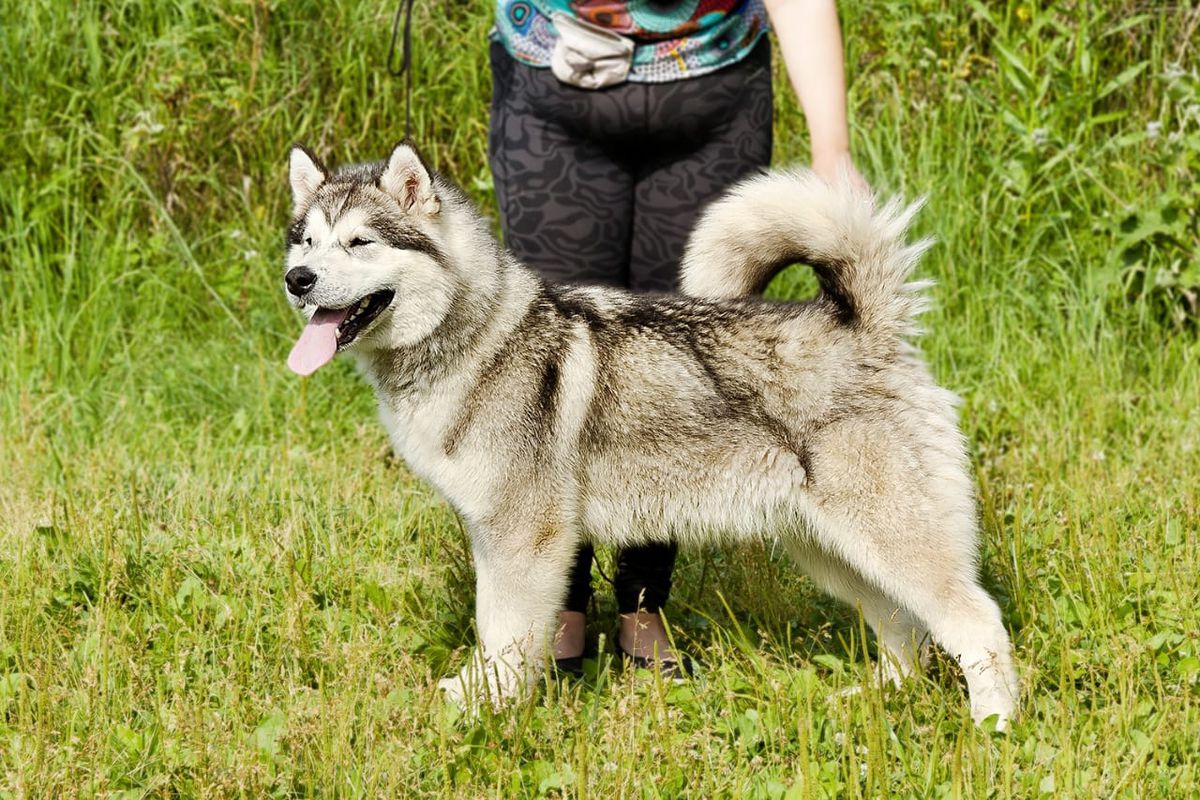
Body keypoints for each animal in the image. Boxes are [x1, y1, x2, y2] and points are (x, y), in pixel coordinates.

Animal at [283, 140, 1022, 729]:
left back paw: (994, 727)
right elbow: (497, 632)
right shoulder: (495, 536)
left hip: (887, 537)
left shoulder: (523, 540)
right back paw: (876, 700)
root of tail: (865, 323)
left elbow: (502, 635)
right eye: (307, 240)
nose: (297, 280)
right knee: (902, 626)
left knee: (974, 621)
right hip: (830, 547)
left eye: (361, 242)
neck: (478, 340)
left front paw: (489, 712)